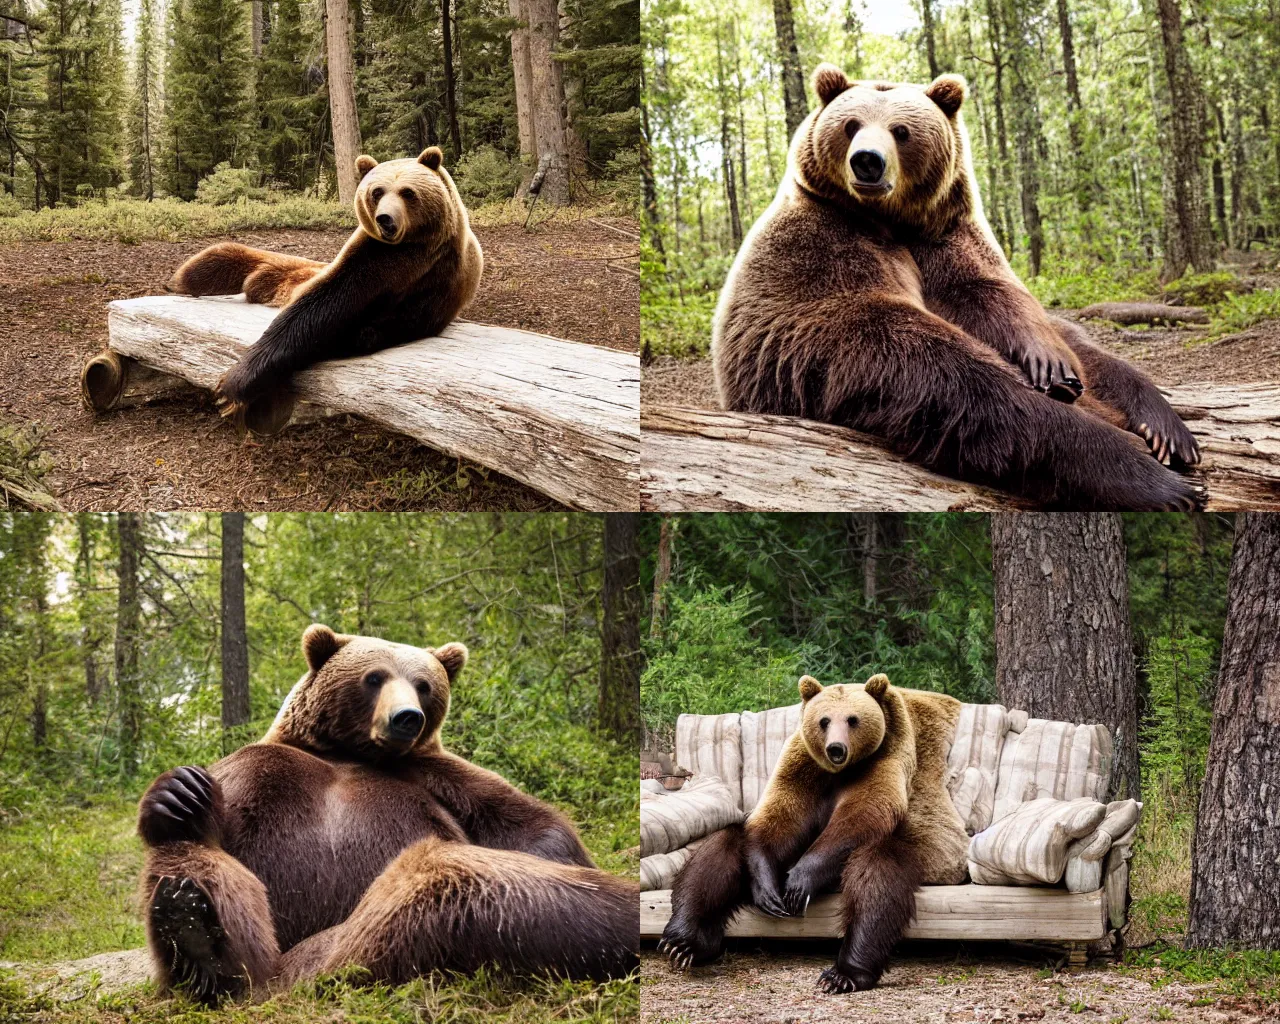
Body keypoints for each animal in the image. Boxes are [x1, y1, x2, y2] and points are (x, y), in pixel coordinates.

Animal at [137, 624, 637, 998]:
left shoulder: (436, 775)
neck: (349, 755)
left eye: (424, 684)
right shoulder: (262, 770)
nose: (406, 718)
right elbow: (213, 824)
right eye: (374, 677)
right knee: (188, 859)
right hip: (285, 950)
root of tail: (293, 981)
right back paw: (194, 931)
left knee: (475, 882)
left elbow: (525, 822)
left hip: (373, 933)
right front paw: (179, 792)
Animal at [168, 145, 483, 430]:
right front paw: (231, 386)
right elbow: (318, 307)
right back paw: (183, 280)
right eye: (377, 192)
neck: (408, 252)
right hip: (287, 269)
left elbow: (386, 322)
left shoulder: (433, 277)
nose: (385, 219)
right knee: (231, 260)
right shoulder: (370, 257)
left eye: (407, 192)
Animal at [660, 670, 967, 993]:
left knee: (878, 874)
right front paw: (769, 893)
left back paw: (844, 973)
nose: (836, 749)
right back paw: (684, 941)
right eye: (824, 721)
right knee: (721, 847)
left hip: (929, 849)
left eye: (853, 719)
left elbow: (862, 816)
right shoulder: (804, 765)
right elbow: (780, 817)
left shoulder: (890, 755)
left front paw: (798, 885)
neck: (842, 771)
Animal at [716, 64, 1203, 512]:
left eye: (901, 130)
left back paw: (1166, 429)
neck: (888, 222)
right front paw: (1149, 476)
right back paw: (1156, 475)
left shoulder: (944, 237)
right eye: (850, 124)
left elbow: (992, 292)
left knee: (1092, 352)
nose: (867, 160)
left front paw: (1050, 365)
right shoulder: (820, 260)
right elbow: (930, 361)